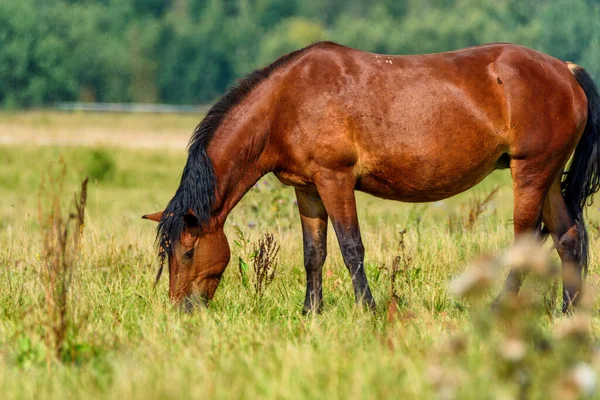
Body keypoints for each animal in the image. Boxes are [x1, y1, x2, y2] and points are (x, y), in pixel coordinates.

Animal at [144, 42, 600, 314]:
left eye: (187, 251)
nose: (181, 311)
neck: (286, 101)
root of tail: (565, 70)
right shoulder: (307, 189)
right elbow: (314, 253)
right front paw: (311, 313)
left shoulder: (335, 179)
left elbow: (350, 248)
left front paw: (368, 309)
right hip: (547, 175)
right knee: (568, 238)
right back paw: (567, 312)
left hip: (531, 172)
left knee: (528, 242)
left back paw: (498, 310)